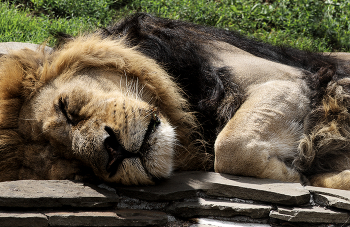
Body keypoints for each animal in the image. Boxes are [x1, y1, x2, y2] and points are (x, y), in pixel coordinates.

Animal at [0, 13, 350, 189]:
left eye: (67, 109)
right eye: (76, 170)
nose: (112, 152)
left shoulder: (286, 78)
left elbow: (230, 145)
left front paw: (297, 173)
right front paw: (304, 173)